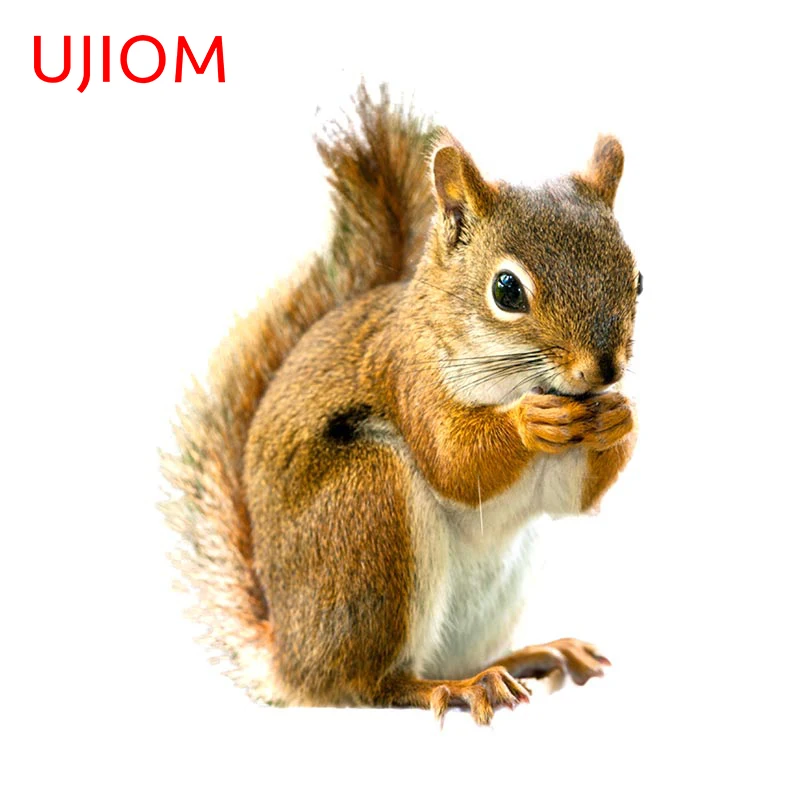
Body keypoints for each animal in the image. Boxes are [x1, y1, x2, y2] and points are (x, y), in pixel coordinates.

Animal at [161, 84, 641, 725]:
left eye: (639, 279)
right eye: (507, 290)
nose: (604, 370)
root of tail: (292, 659)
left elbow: (571, 498)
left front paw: (620, 417)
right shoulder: (410, 379)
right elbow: (455, 462)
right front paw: (527, 422)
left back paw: (527, 658)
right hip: (368, 511)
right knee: (371, 685)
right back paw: (456, 688)